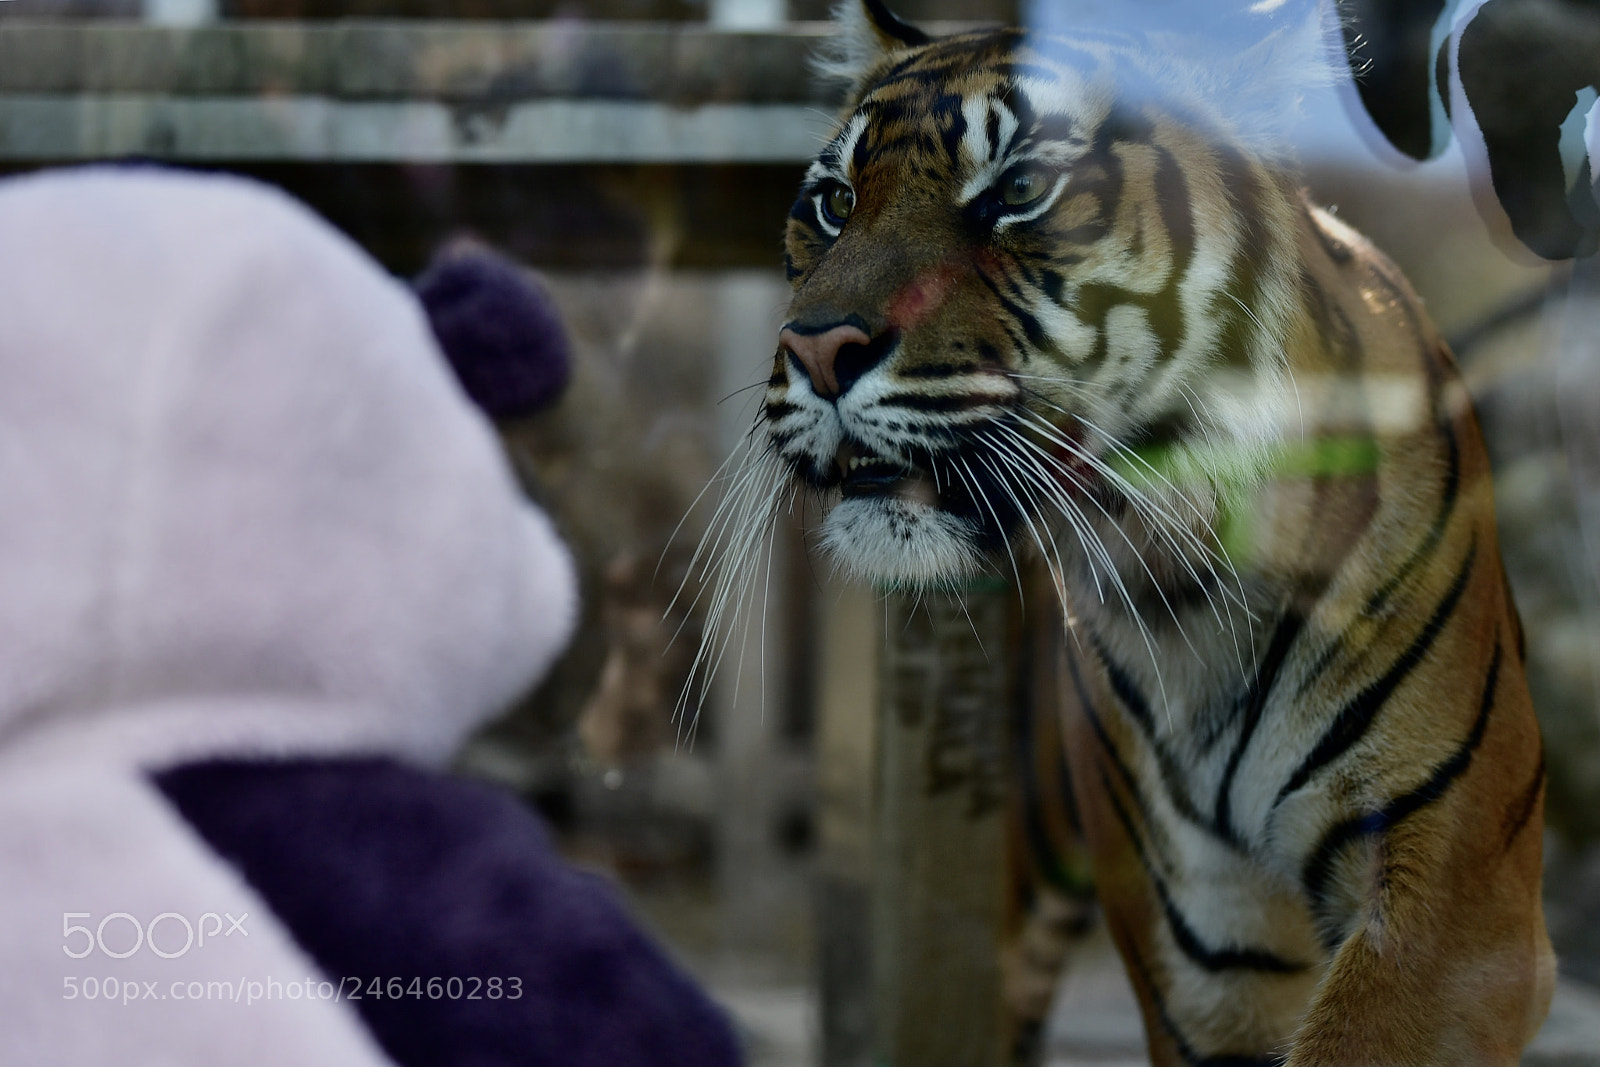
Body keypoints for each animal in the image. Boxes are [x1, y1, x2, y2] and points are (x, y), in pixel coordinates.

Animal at [732, 0, 1558, 1062]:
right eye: (835, 202)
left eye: (1021, 189)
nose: (816, 345)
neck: (1186, 580)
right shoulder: (1211, 958)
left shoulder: (1453, 914)